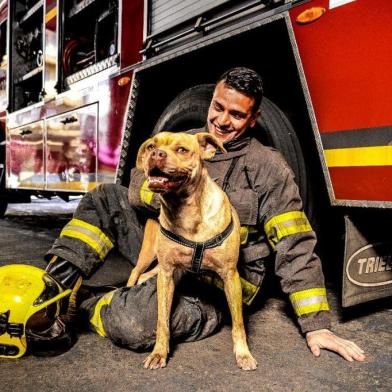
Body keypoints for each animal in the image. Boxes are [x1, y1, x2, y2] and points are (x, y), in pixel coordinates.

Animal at [128, 132, 258, 370]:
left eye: (182, 150)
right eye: (151, 146)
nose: (156, 154)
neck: (187, 213)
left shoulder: (230, 276)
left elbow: (238, 323)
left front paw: (243, 354)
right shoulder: (166, 274)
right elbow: (162, 320)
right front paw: (159, 352)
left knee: (144, 274)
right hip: (149, 254)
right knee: (135, 272)